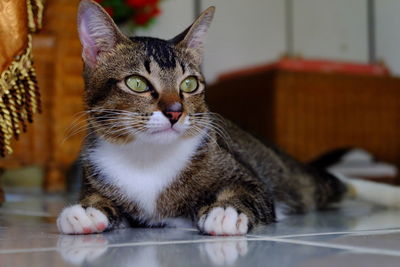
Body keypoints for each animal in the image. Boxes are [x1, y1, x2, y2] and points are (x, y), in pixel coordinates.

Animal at [56, 0, 400, 236]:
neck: (147, 159)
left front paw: (225, 211)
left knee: (337, 182)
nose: (175, 112)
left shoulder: (249, 177)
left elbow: (248, 191)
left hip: (293, 180)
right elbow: (98, 199)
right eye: (137, 83)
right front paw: (87, 211)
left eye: (189, 84)